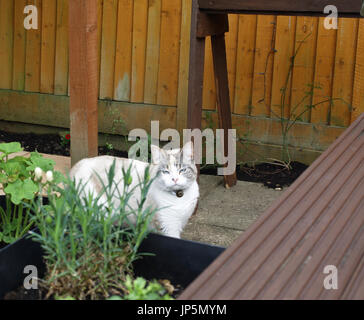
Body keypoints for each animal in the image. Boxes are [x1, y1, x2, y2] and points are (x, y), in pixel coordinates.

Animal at [69, 142, 199, 238]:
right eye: (166, 172)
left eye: (182, 170)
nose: (175, 179)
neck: (179, 196)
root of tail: (75, 166)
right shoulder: (167, 227)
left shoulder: (180, 223)